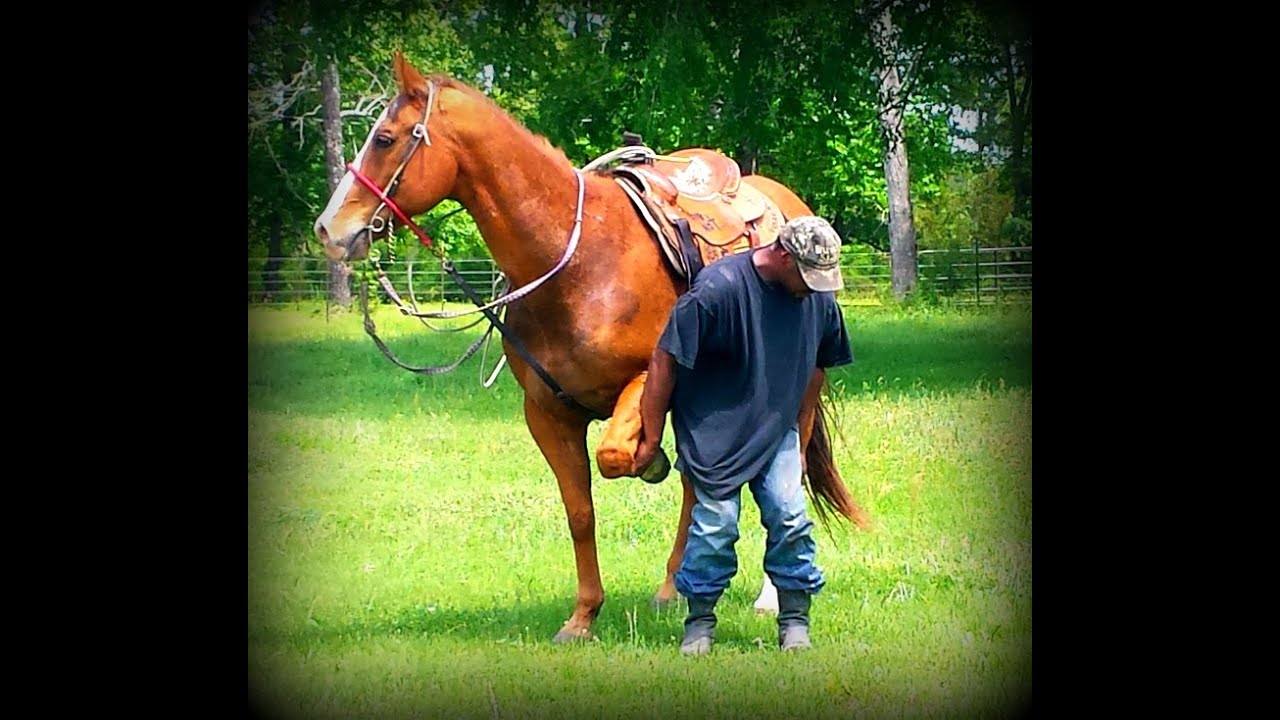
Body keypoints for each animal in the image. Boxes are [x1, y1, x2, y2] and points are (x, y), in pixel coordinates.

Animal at [313, 52, 869, 643]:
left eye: (386, 139)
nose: (329, 229)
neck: (576, 261)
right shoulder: (547, 411)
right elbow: (580, 510)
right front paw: (583, 616)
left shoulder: (650, 378)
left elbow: (615, 455)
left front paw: (648, 462)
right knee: (698, 489)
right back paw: (672, 587)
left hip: (799, 395)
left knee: (784, 475)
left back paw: (764, 595)